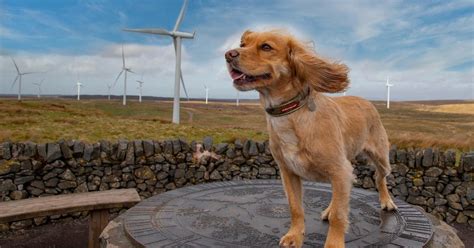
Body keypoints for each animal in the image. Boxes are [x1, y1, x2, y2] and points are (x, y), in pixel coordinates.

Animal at [226, 31, 396, 248]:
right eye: (242, 44)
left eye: (266, 47)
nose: (229, 54)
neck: (290, 115)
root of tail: (367, 101)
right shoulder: (289, 172)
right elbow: (296, 208)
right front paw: (295, 235)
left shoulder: (340, 170)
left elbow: (340, 215)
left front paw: (333, 244)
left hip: (381, 158)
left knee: (379, 177)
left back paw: (386, 201)